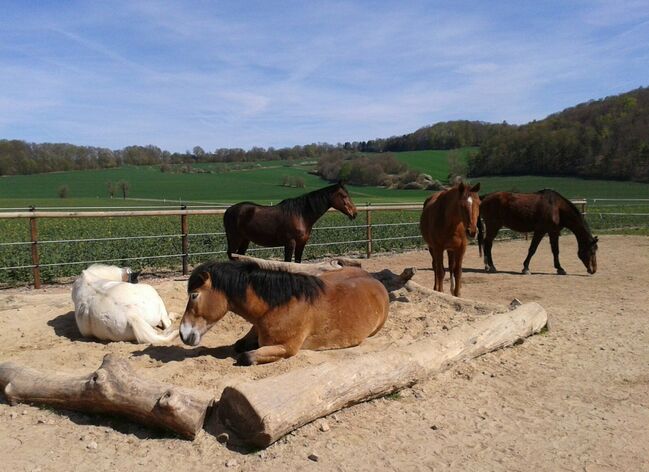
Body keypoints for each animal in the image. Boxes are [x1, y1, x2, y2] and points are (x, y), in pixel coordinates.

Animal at [180, 258, 388, 366]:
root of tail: (373, 279)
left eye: (194, 295)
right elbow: (239, 345)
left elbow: (246, 356)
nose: (183, 333)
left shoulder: (286, 348)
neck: (278, 306)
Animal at [221, 183, 354, 264]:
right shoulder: (290, 243)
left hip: (245, 240)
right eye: (344, 195)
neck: (301, 215)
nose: (354, 213)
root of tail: (229, 210)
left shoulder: (301, 244)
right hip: (235, 239)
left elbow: (298, 263)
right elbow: (288, 263)